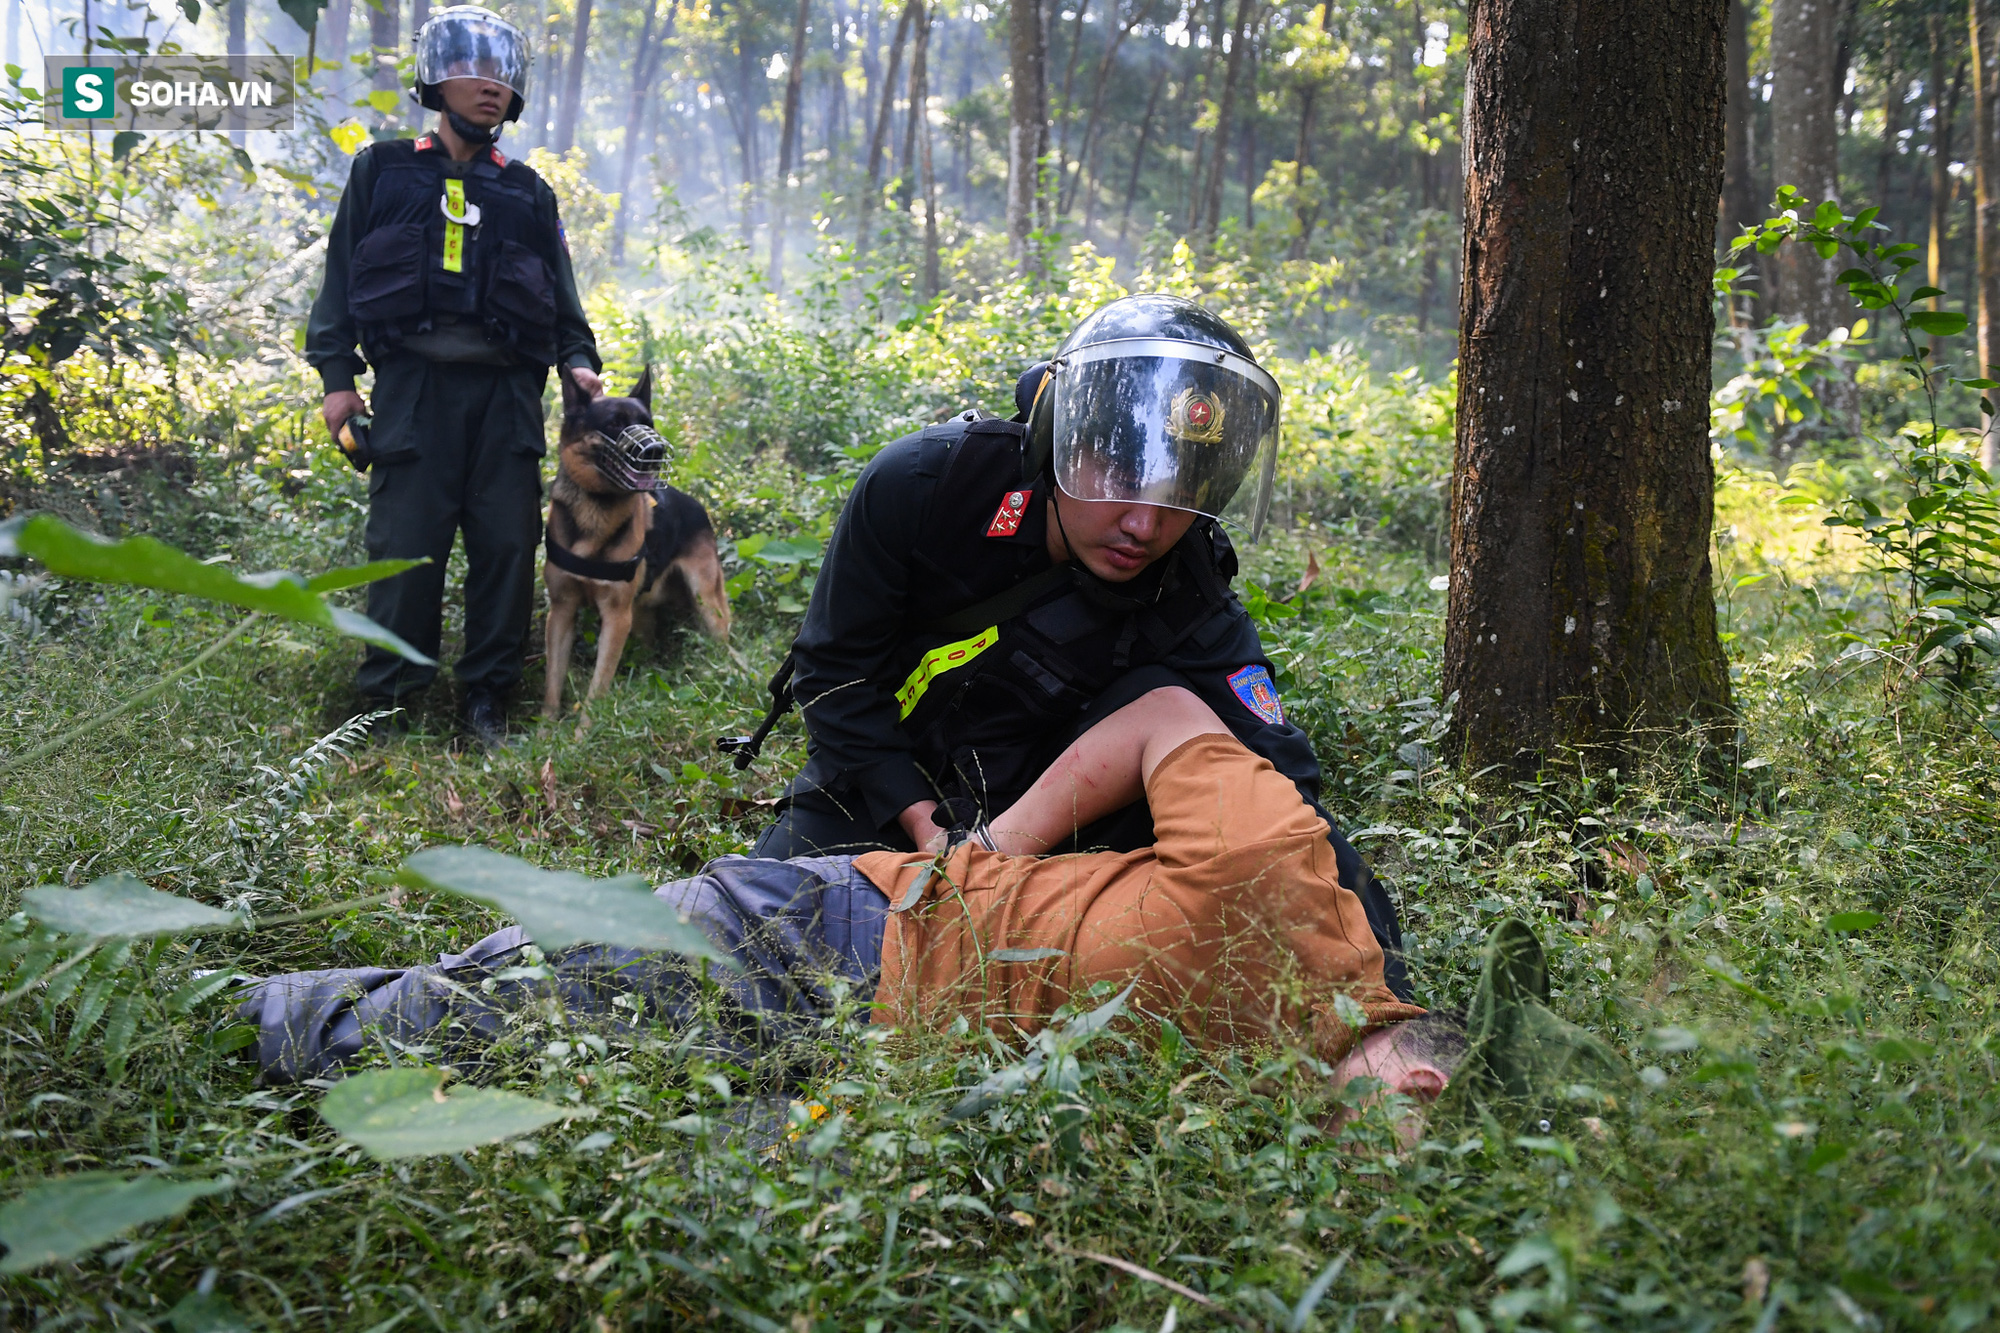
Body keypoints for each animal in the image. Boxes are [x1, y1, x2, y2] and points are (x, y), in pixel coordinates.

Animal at [544, 364, 732, 716]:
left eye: (649, 424)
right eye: (614, 423)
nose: (656, 451)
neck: (596, 508)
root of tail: (698, 505)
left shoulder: (616, 619)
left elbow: (597, 690)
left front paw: (585, 729)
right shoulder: (562, 611)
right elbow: (552, 685)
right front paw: (547, 728)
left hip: (707, 602)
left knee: (722, 643)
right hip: (643, 612)